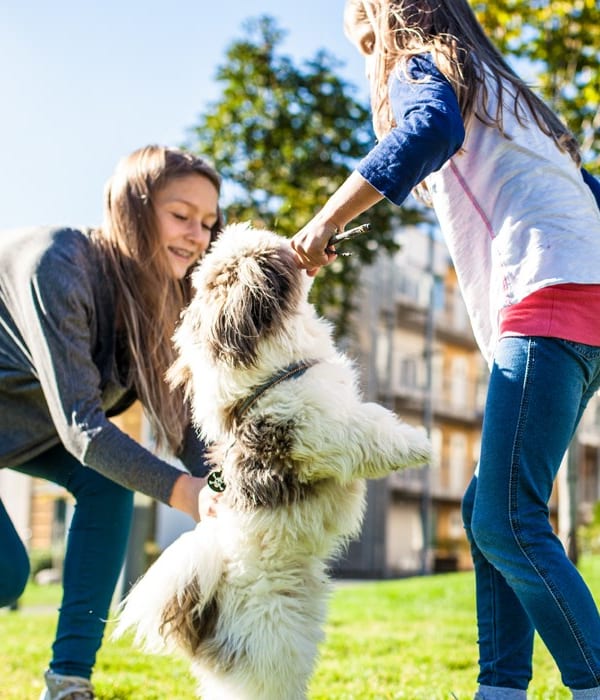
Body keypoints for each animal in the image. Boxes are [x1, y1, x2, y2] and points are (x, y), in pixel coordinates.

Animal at [113, 221, 432, 696]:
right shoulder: (318, 429)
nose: (297, 243)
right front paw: (420, 443)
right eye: (268, 255)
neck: (274, 373)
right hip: (270, 637)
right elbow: (371, 426)